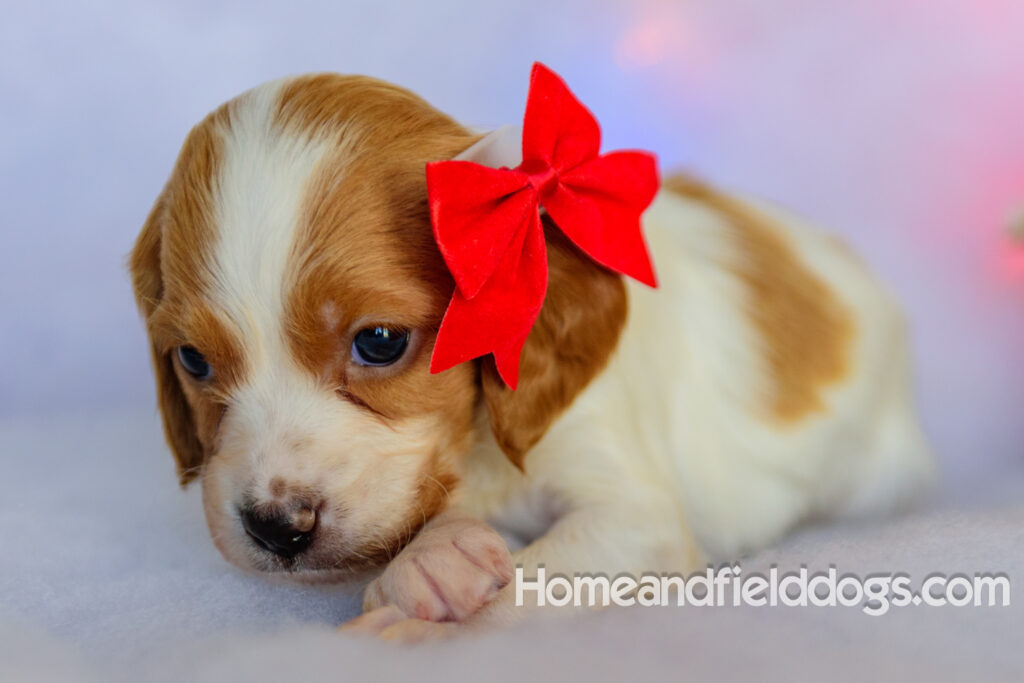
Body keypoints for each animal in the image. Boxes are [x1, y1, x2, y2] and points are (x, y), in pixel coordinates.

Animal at [130, 72, 937, 638]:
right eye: (193, 361)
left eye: (380, 342)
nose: (276, 527)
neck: (480, 449)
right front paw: (436, 559)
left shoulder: (630, 512)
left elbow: (537, 578)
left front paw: (412, 607)